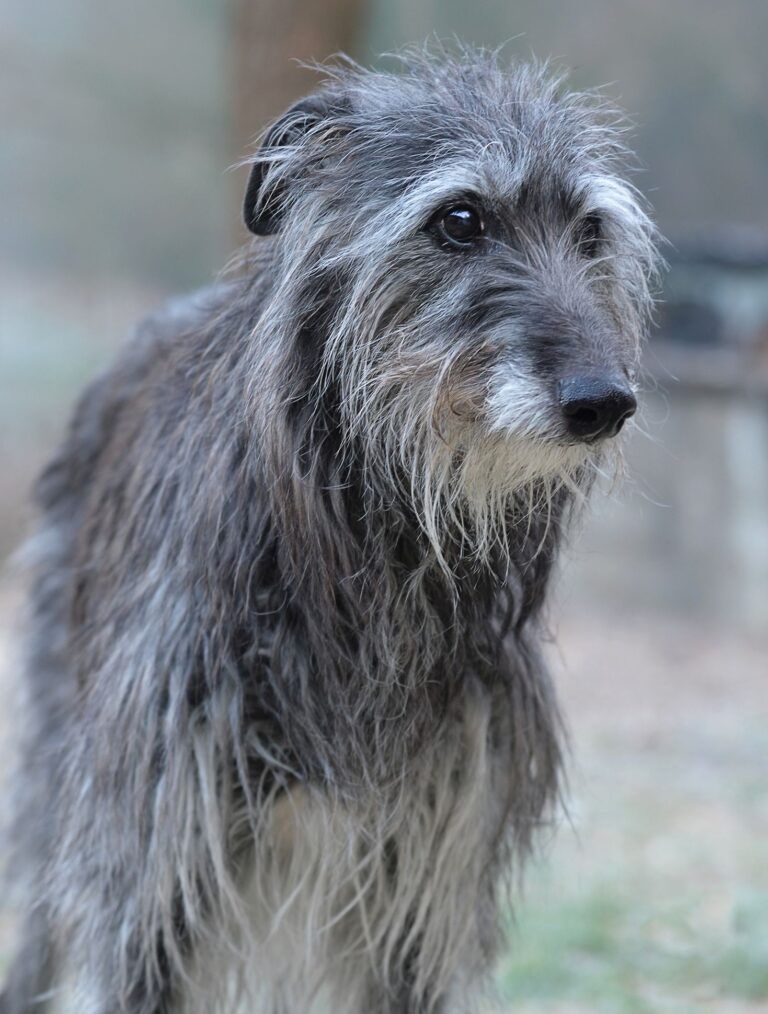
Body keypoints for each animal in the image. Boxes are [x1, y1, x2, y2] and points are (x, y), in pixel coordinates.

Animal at [2, 45, 657, 1014]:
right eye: (460, 219)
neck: (365, 556)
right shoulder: (149, 875)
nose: (603, 402)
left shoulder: (421, 894)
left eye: (589, 231)